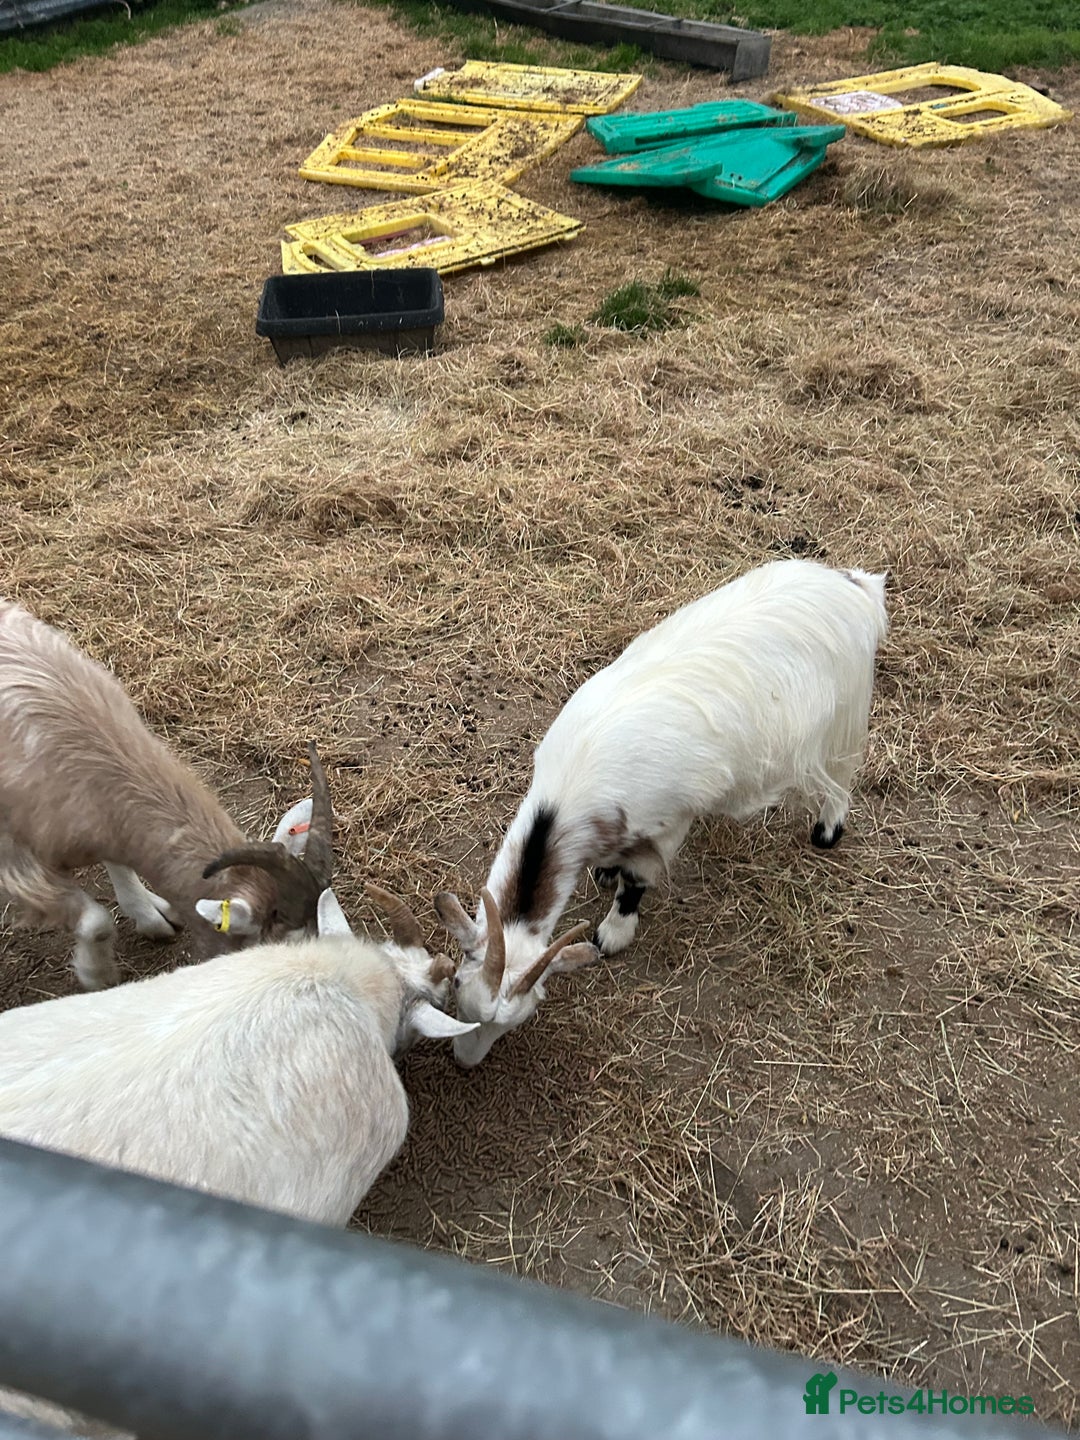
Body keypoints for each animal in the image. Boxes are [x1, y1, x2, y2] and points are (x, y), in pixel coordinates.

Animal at [436, 558, 889, 1066]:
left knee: (843, 775)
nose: (464, 1060)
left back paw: (828, 830)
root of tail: (854, 585)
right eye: (457, 984)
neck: (573, 788)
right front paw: (604, 872)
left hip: (845, 713)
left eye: (520, 1018)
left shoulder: (670, 819)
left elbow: (637, 881)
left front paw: (614, 932)